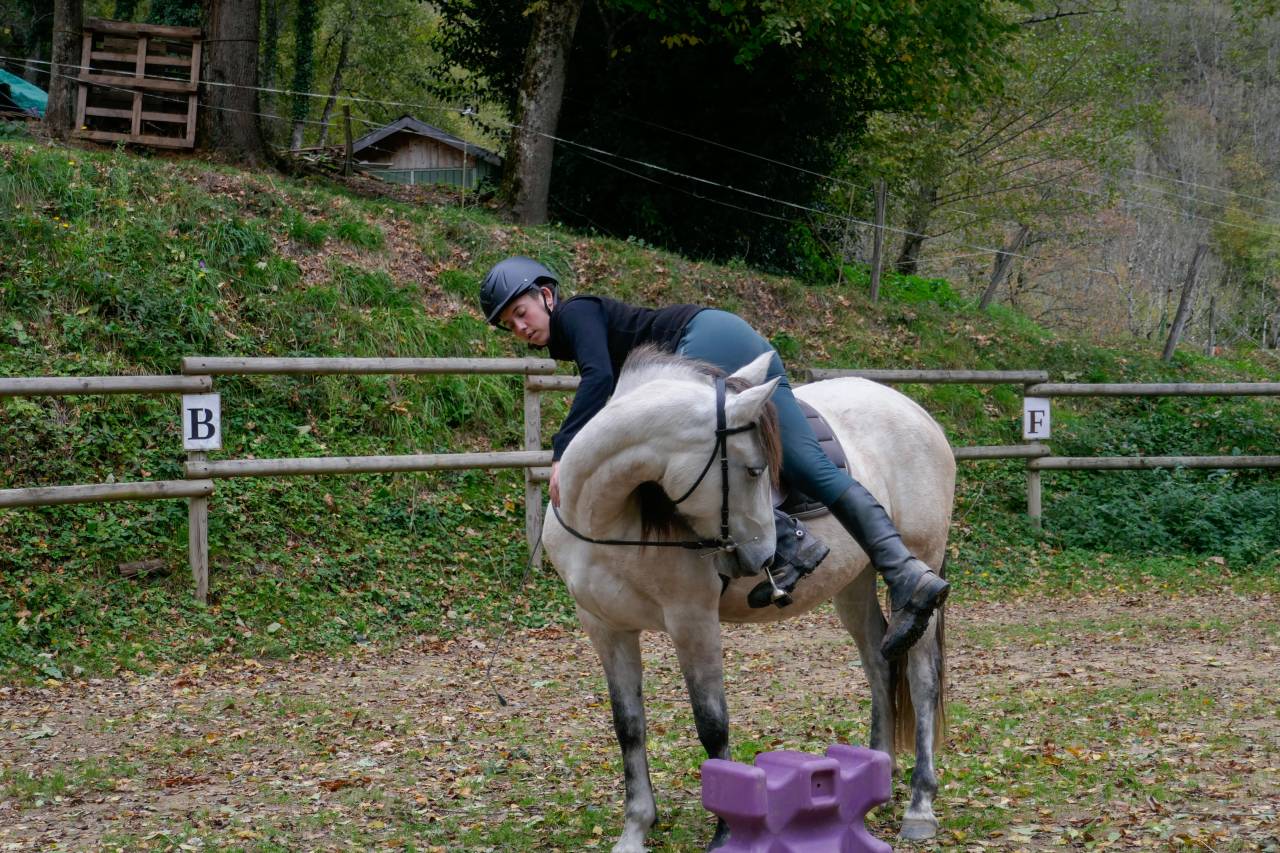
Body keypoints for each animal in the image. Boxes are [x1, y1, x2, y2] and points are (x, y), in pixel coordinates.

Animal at [542, 347, 953, 851]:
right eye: (755, 469)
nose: (767, 556)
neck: (607, 519)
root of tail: (915, 411)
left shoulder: (693, 621)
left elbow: (711, 723)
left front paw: (725, 830)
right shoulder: (606, 627)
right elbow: (629, 726)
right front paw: (636, 827)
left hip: (923, 557)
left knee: (921, 677)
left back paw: (920, 802)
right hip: (852, 584)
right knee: (879, 663)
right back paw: (877, 775)